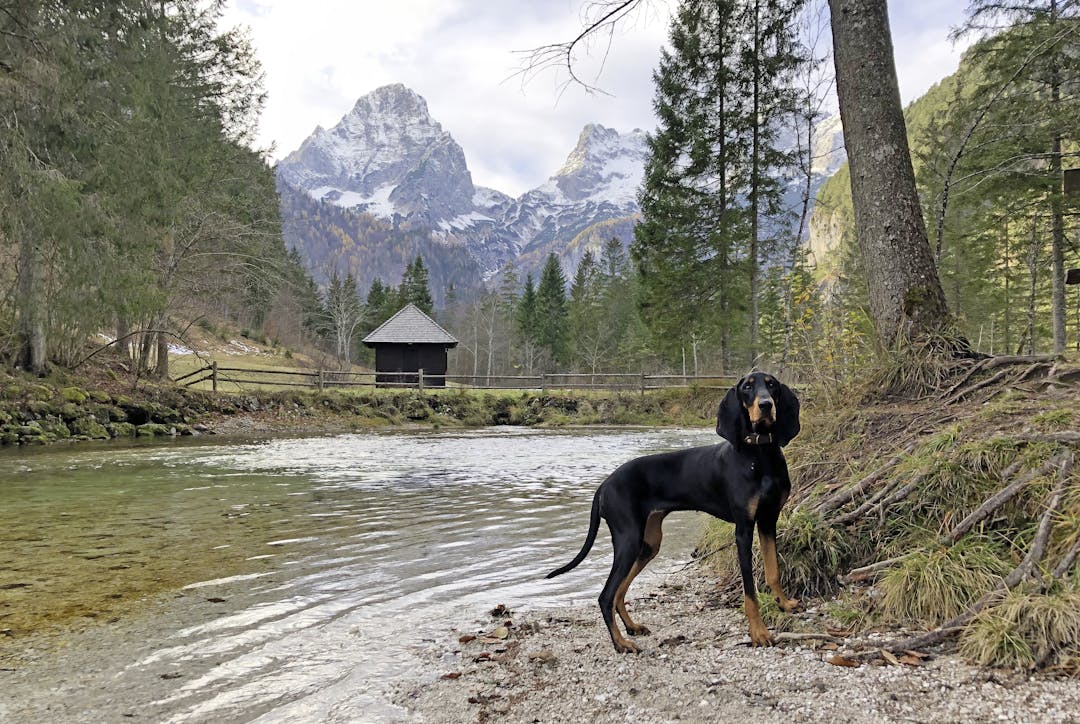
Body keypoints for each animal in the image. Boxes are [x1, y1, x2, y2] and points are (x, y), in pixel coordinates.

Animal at [548, 373, 803, 652]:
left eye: (771, 385)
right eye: (747, 386)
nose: (766, 405)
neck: (759, 455)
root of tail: (604, 485)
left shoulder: (768, 521)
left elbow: (773, 571)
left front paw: (783, 604)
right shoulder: (743, 531)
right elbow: (749, 591)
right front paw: (758, 632)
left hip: (648, 544)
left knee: (619, 591)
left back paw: (632, 627)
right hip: (629, 539)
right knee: (606, 595)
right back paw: (621, 643)